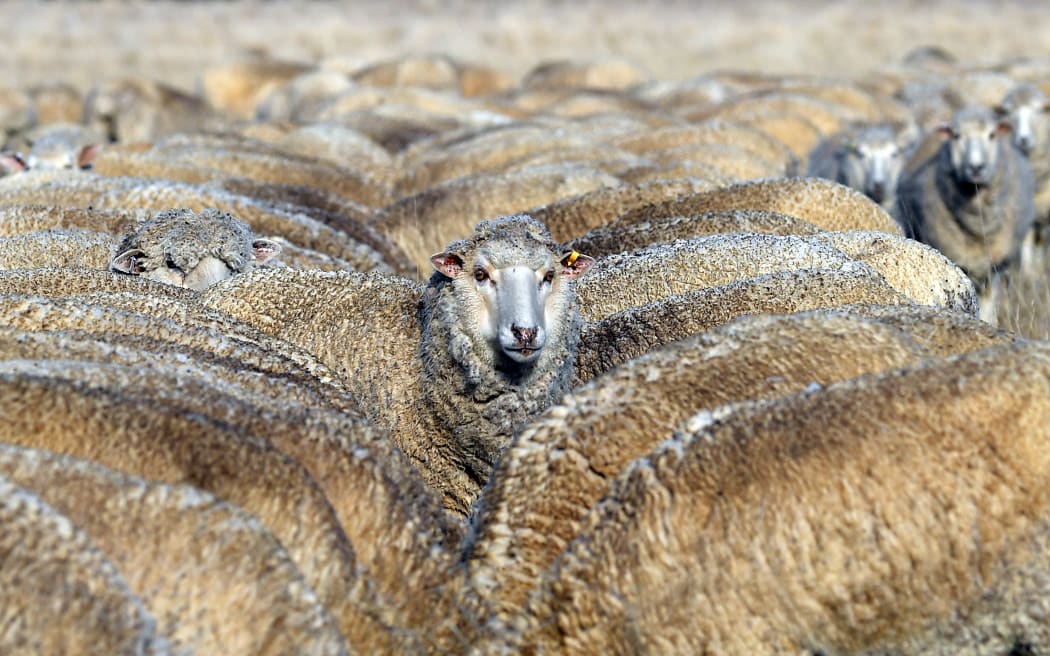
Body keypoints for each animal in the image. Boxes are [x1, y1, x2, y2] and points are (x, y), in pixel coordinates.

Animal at [897, 105, 1036, 323]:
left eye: (992, 134)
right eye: (956, 135)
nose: (976, 168)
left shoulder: (994, 264)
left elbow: (988, 301)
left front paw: (988, 322)